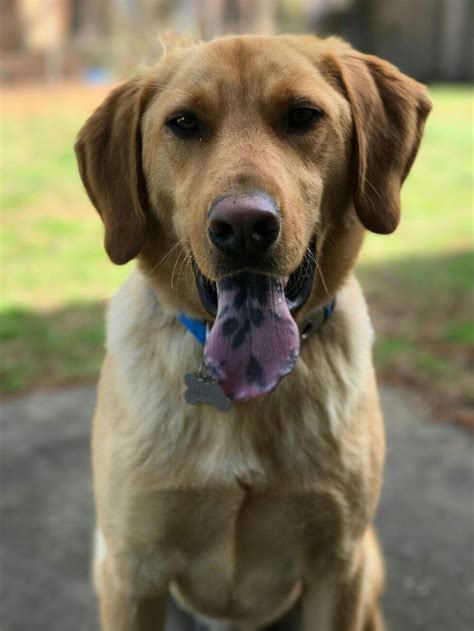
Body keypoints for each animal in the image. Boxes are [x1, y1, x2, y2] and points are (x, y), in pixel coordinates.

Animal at [74, 34, 430, 631]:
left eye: (303, 115)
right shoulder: (133, 571)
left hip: (366, 566)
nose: (243, 227)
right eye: (185, 123)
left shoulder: (337, 566)